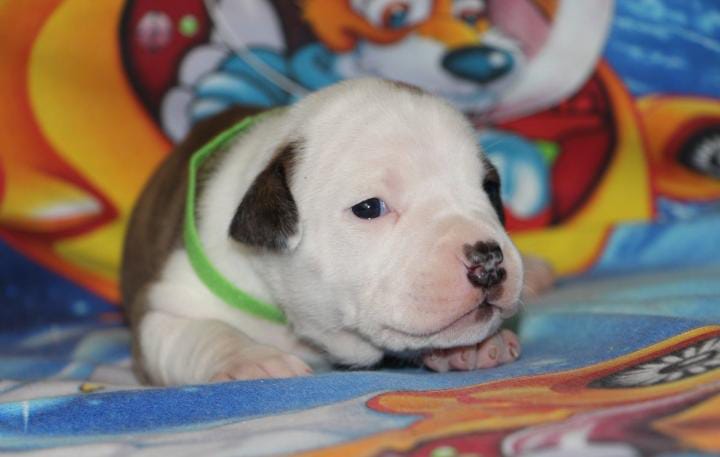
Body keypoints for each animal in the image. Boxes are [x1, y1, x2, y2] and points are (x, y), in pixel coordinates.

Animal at [123, 78, 540, 385]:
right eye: (369, 208)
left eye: (490, 189)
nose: (489, 259)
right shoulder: (164, 307)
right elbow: (203, 332)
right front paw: (251, 359)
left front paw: (477, 346)